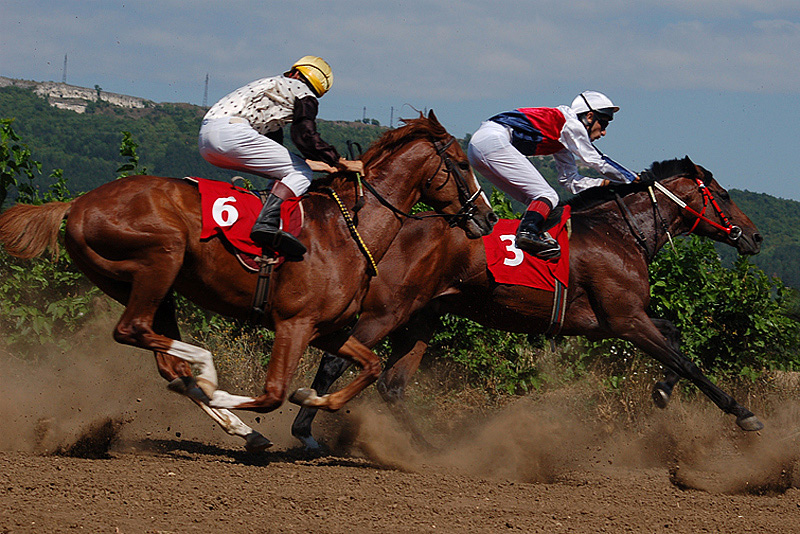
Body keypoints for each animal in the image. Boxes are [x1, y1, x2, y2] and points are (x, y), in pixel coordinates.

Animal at [0, 113, 496, 452]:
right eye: (458, 163)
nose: (489, 218)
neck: (346, 228)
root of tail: (77, 204)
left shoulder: (329, 329)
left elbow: (369, 367)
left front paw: (310, 403)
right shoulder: (294, 324)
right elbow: (273, 394)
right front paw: (242, 398)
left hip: (151, 288)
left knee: (164, 359)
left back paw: (228, 416)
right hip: (162, 259)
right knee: (134, 331)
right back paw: (209, 376)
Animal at [290, 157, 764, 450]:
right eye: (723, 194)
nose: (756, 237)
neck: (619, 232)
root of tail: (376, 231)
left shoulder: (616, 321)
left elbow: (676, 337)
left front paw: (663, 390)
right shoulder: (626, 320)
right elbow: (689, 363)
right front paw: (743, 413)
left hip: (420, 318)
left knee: (392, 385)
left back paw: (428, 449)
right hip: (386, 313)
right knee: (337, 361)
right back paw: (305, 427)